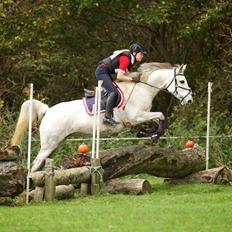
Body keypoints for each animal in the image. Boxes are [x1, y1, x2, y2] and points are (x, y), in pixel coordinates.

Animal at [10, 62, 192, 171]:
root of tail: (48, 111)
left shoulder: (143, 116)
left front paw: (149, 134)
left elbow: (159, 119)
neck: (143, 89)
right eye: (182, 82)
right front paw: (153, 135)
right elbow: (161, 115)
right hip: (49, 144)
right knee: (35, 164)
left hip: (56, 144)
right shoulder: (136, 116)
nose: (190, 100)